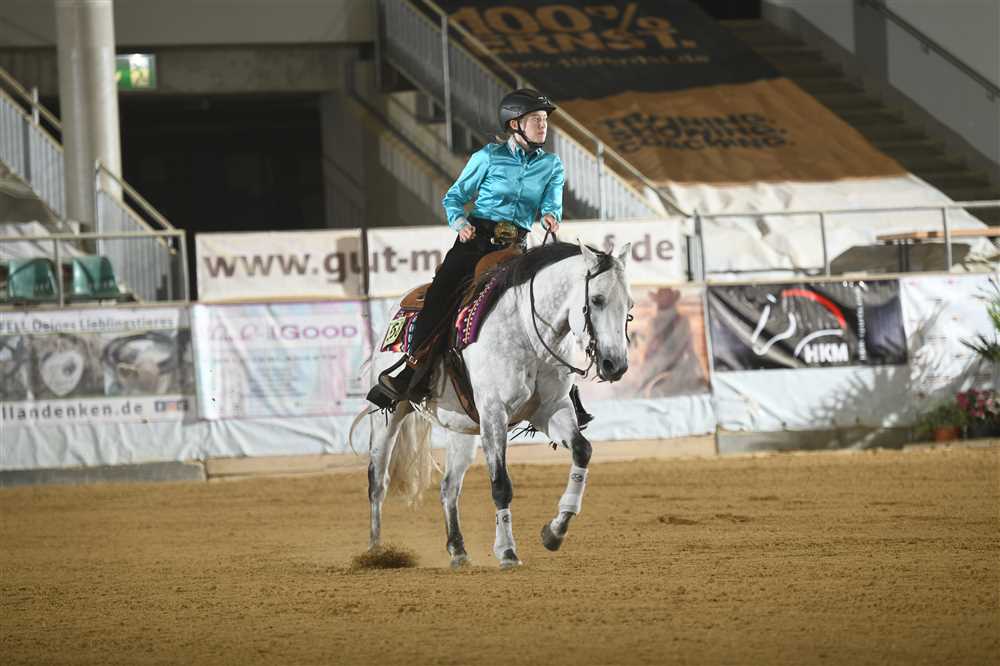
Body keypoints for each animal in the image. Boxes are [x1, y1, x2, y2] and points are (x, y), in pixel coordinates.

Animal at [351, 240, 633, 569]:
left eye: (629, 305)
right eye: (597, 300)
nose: (616, 365)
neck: (526, 330)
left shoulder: (551, 409)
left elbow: (582, 450)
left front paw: (554, 531)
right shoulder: (494, 414)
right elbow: (501, 485)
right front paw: (507, 551)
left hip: (463, 430)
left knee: (448, 487)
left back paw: (458, 550)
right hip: (391, 415)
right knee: (377, 481)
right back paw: (376, 552)